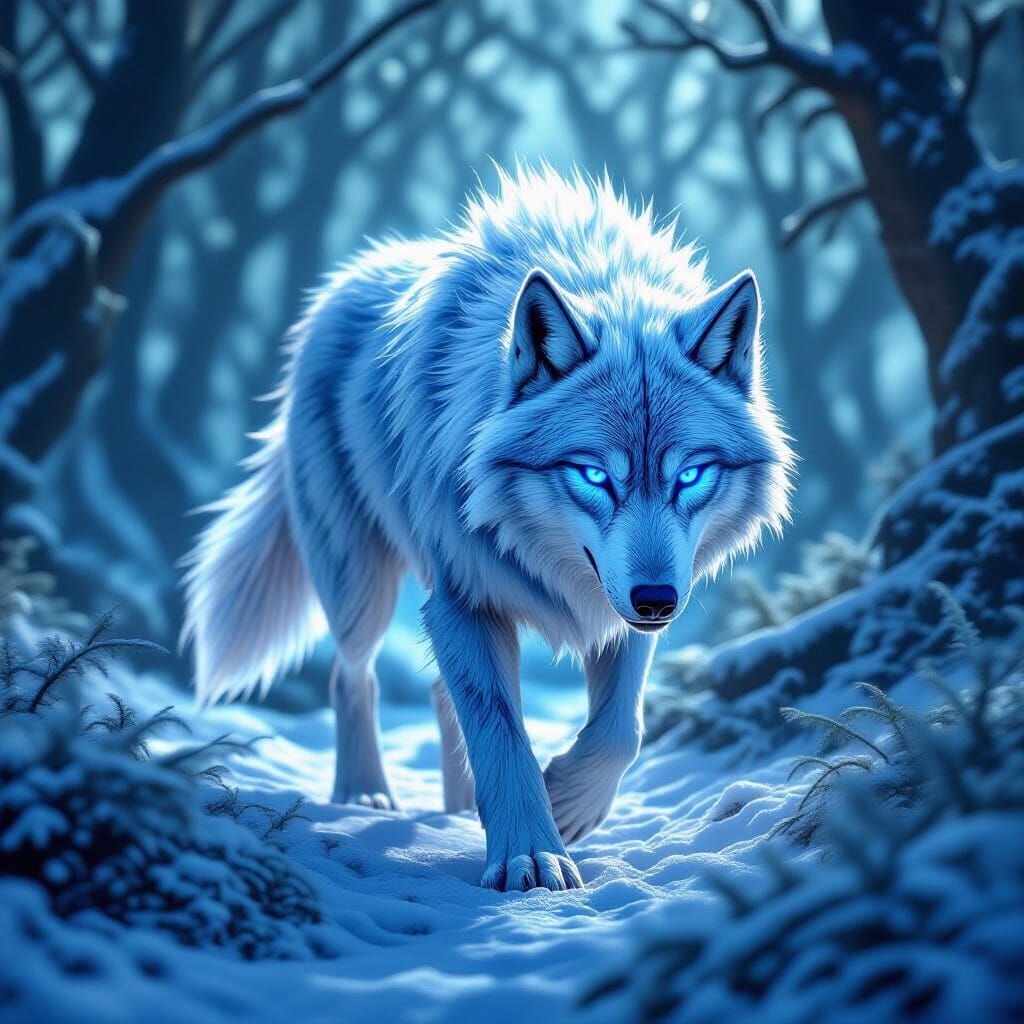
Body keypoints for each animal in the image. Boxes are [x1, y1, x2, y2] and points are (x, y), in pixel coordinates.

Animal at [182, 166, 794, 892]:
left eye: (691, 476)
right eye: (594, 476)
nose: (656, 602)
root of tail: (339, 286)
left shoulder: (621, 610)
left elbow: (622, 731)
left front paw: (567, 803)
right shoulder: (462, 598)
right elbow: (503, 731)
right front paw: (532, 854)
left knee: (439, 690)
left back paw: (455, 807)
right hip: (359, 583)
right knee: (353, 675)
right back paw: (363, 795)